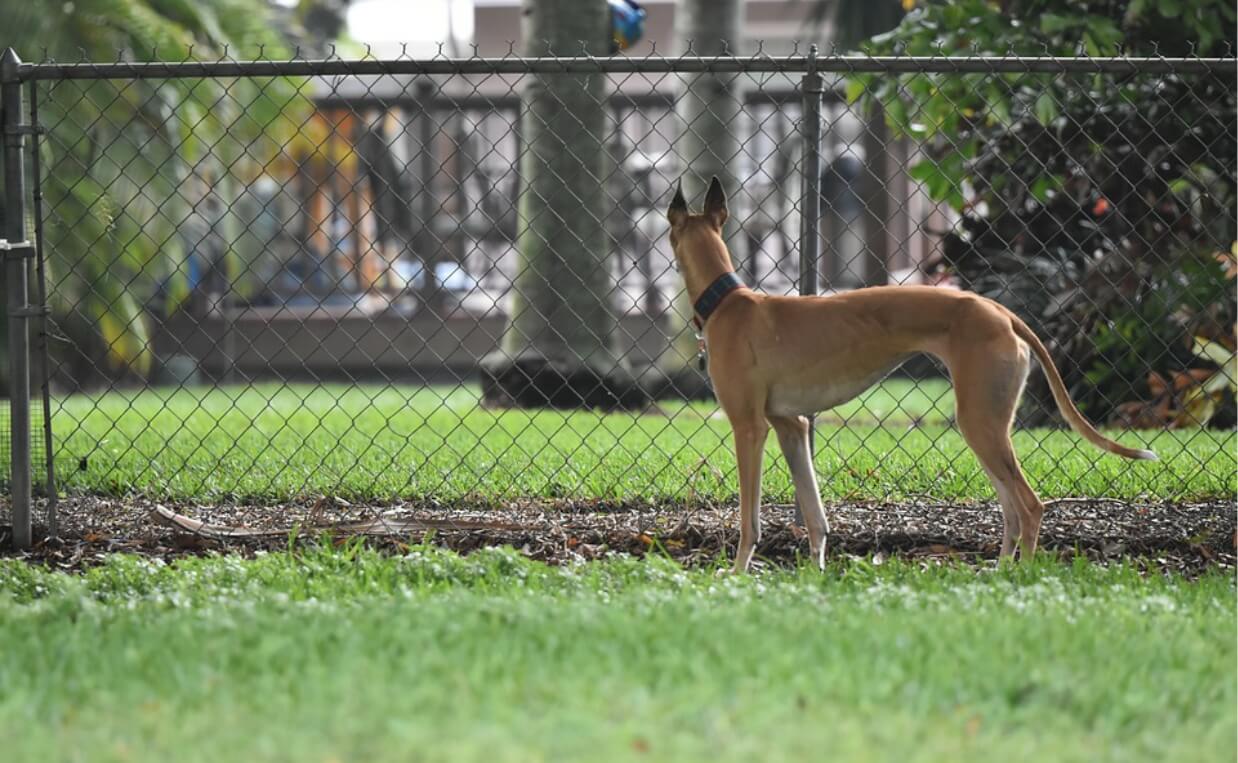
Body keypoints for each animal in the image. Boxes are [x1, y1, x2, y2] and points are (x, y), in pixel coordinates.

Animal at [668, 178, 1158, 572]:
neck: (727, 300)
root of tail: (1000, 312)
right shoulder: (793, 425)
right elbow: (814, 515)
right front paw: (816, 575)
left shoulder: (750, 428)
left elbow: (750, 519)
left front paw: (736, 575)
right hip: (986, 425)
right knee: (1011, 511)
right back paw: (999, 573)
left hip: (980, 422)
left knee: (1031, 506)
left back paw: (1021, 576)